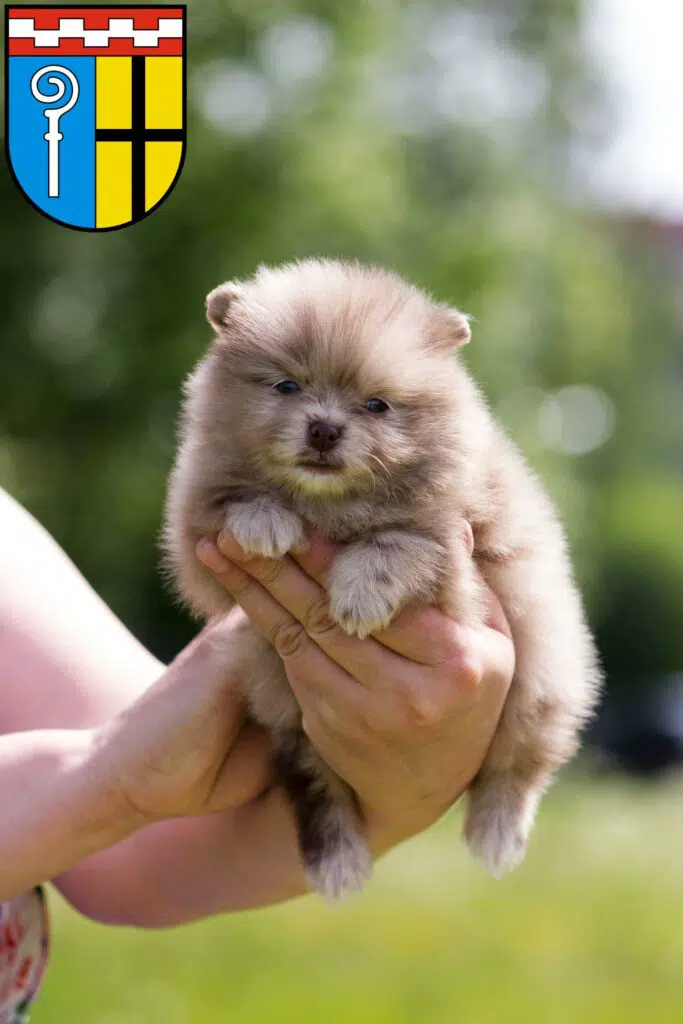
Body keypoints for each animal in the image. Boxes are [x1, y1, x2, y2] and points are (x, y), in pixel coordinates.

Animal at [162, 260, 602, 901]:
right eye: (287, 387)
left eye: (377, 405)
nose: (324, 429)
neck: (329, 504)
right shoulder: (197, 539)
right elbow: (230, 505)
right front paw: (265, 521)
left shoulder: (457, 556)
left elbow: (398, 542)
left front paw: (358, 595)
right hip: (287, 712)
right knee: (316, 784)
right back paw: (338, 860)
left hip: (542, 677)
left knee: (521, 762)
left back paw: (497, 834)